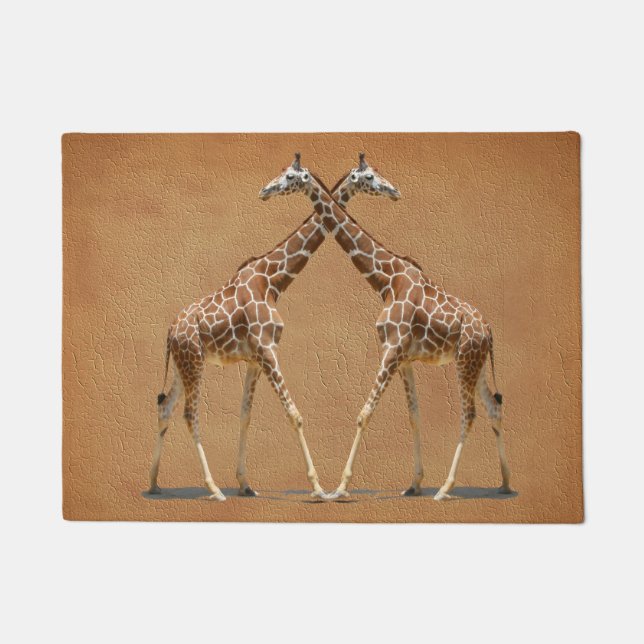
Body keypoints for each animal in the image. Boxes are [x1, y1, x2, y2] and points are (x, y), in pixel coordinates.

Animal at [148, 153, 400, 501]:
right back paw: (213, 489)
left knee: (165, 408)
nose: (264, 191)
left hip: (181, 365)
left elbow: (246, 416)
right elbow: (294, 415)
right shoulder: (267, 350)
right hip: (194, 363)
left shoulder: (255, 358)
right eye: (371, 177)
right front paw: (318, 488)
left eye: (289, 175)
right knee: (189, 414)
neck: (273, 281)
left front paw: (246, 484)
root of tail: (170, 332)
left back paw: (154, 483)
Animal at [260, 153, 512, 501]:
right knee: (493, 407)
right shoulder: (404, 357)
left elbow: (364, 413)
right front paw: (413, 484)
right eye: (370, 176)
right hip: (476, 364)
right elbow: (413, 416)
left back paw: (446, 488)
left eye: (288, 177)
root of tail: (488, 330)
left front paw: (341, 488)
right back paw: (505, 483)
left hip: (465, 361)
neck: (386, 281)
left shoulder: (391, 350)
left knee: (470, 413)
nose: (394, 191)